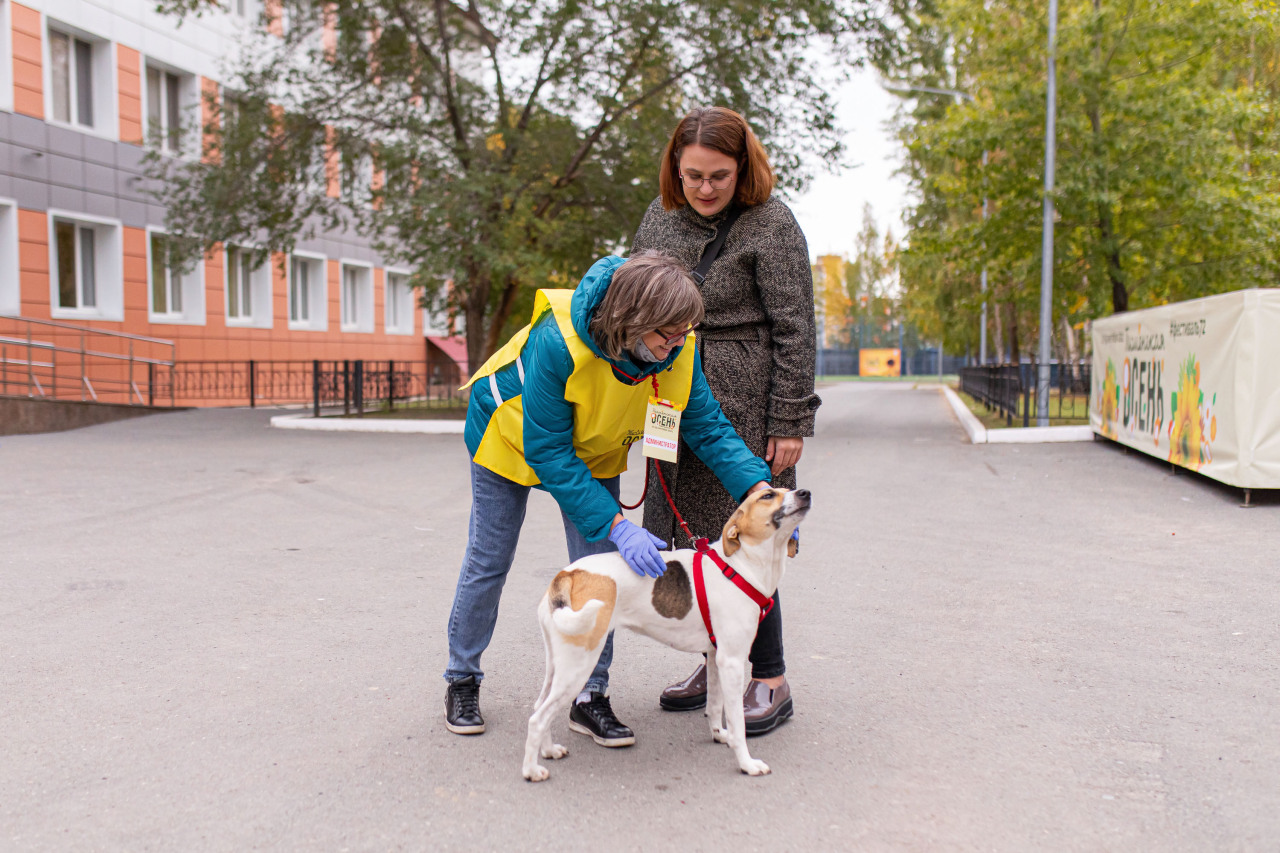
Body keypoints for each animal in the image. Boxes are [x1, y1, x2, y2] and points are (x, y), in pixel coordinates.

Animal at [519, 484, 808, 778]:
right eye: (768, 495)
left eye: (784, 490)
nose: (805, 493)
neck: (739, 565)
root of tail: (567, 575)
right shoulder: (733, 662)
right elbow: (738, 722)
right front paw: (746, 763)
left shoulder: (717, 659)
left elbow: (715, 706)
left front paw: (719, 734)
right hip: (578, 666)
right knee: (537, 718)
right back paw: (532, 770)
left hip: (558, 664)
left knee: (539, 707)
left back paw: (548, 750)